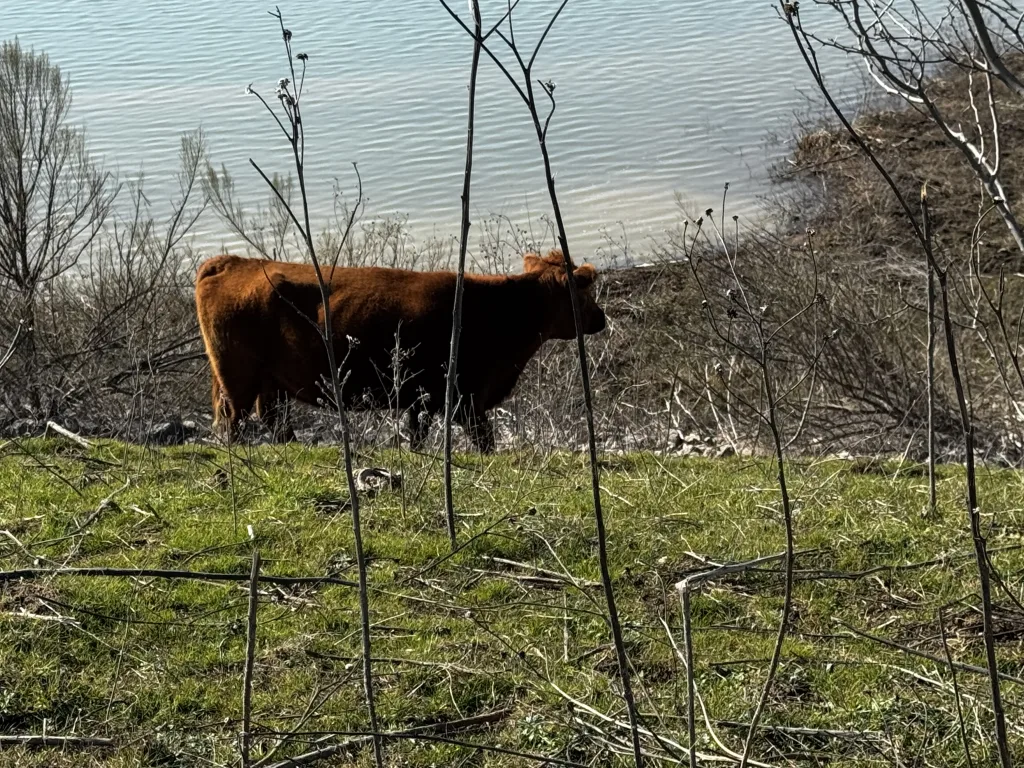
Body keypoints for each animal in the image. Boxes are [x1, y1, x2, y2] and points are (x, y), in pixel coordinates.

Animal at [194, 249, 607, 452]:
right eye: (584, 293)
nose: (601, 318)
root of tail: (231, 261)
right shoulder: (463, 397)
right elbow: (483, 440)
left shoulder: (421, 399)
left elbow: (418, 436)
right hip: (237, 378)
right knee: (231, 420)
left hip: (270, 382)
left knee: (274, 420)